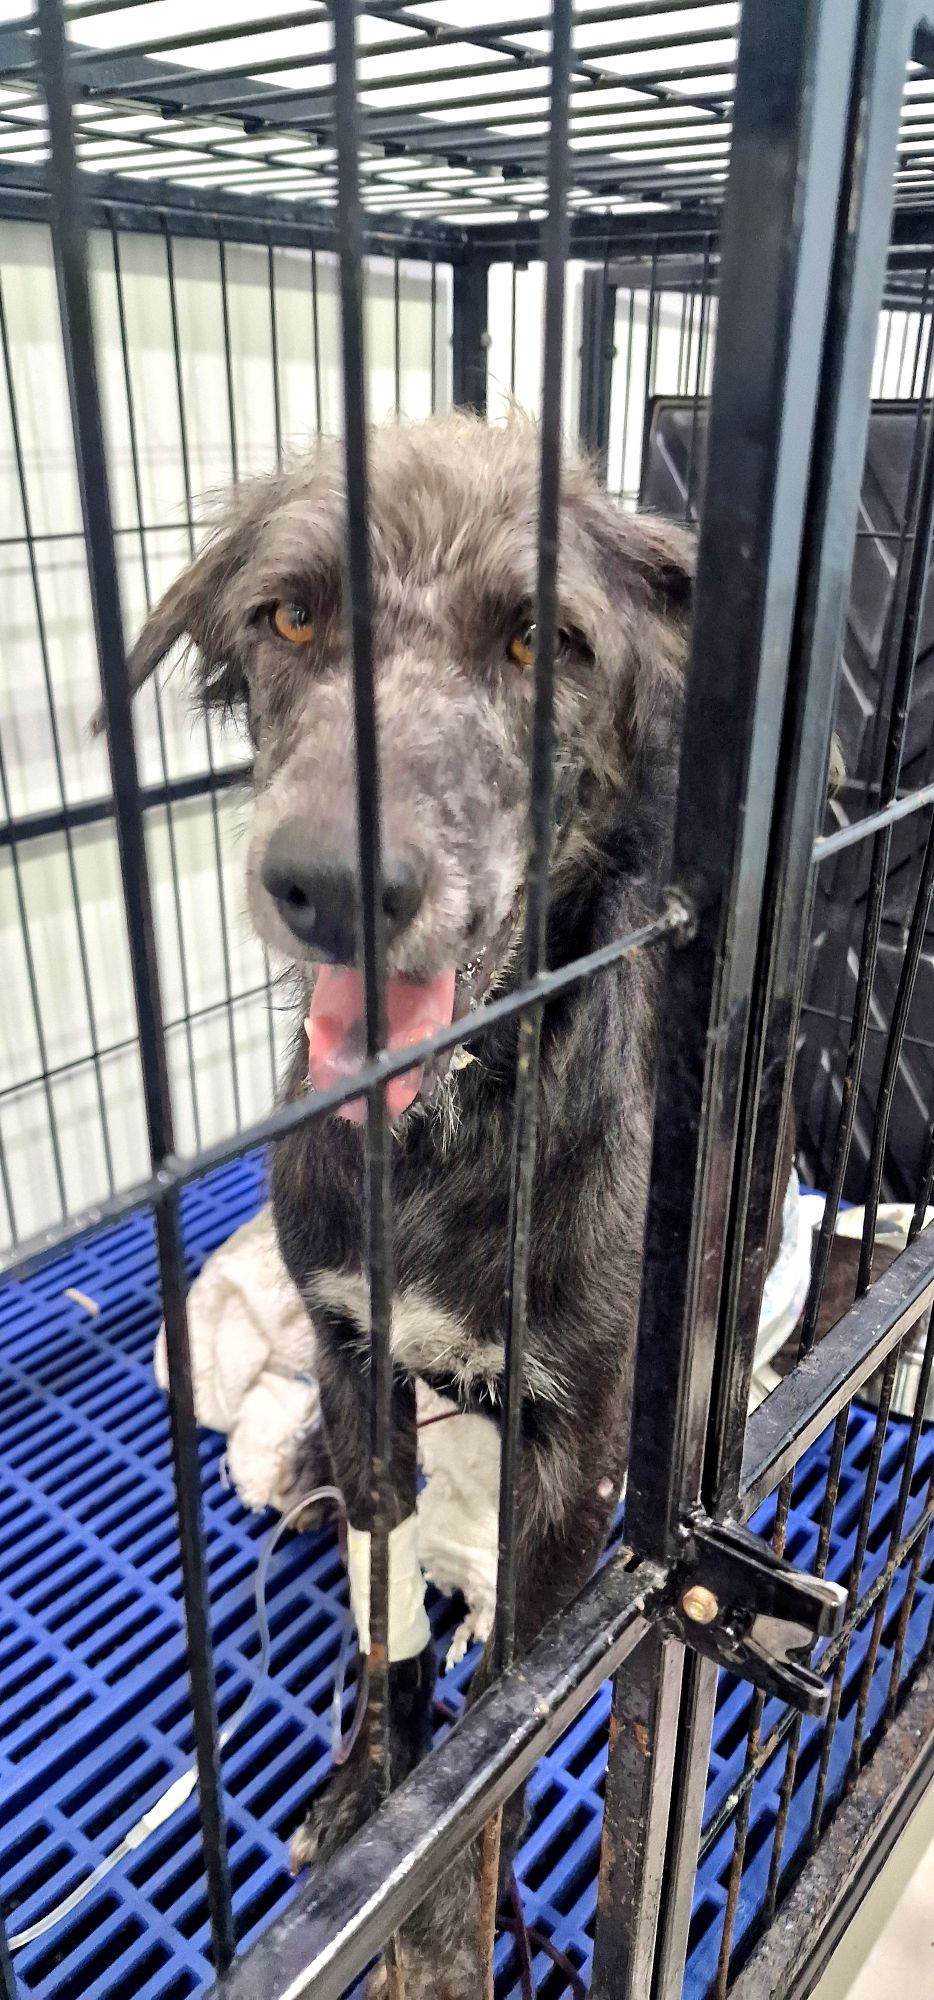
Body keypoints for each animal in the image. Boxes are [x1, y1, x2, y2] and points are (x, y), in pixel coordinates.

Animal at [125, 412, 695, 1996]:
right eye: (289, 618)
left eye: (541, 640)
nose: (321, 881)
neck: (447, 1138)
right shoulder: (352, 1356)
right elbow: (387, 1635)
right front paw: (368, 1792)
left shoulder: (574, 1457)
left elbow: (493, 1742)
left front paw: (441, 1936)